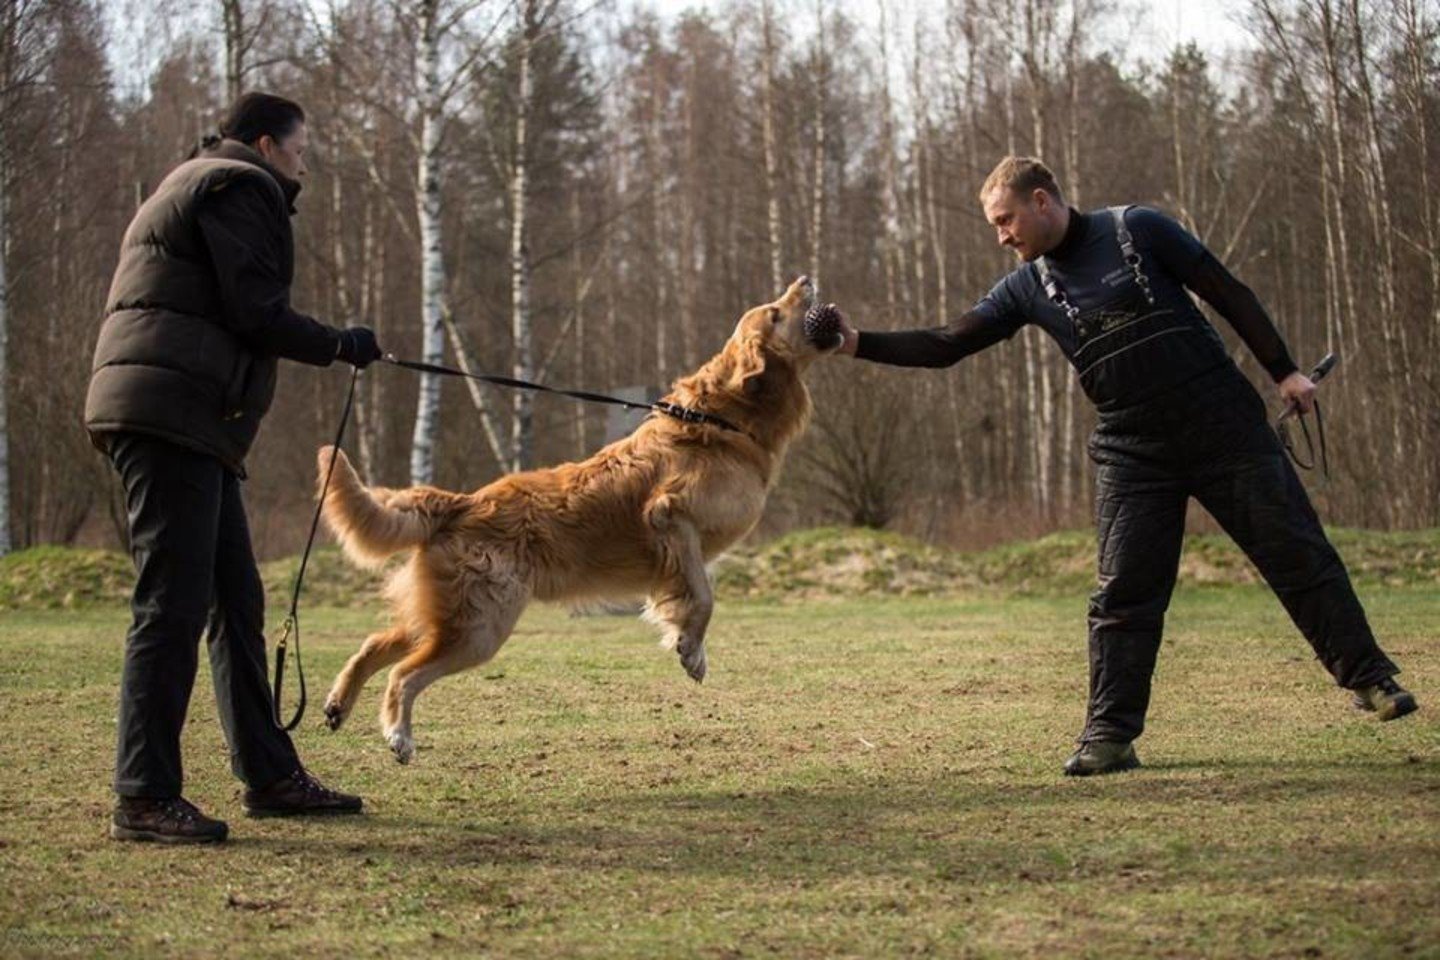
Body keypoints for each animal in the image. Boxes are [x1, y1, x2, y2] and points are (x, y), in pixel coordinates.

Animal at [315, 273, 835, 759]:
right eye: (775, 312)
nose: (804, 279)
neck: (719, 421)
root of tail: (462, 501)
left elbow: (692, 596)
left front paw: (689, 644)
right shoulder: (669, 517)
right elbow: (704, 596)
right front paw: (689, 648)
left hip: (447, 613)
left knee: (374, 643)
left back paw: (338, 704)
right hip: (481, 626)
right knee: (404, 674)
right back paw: (398, 735)